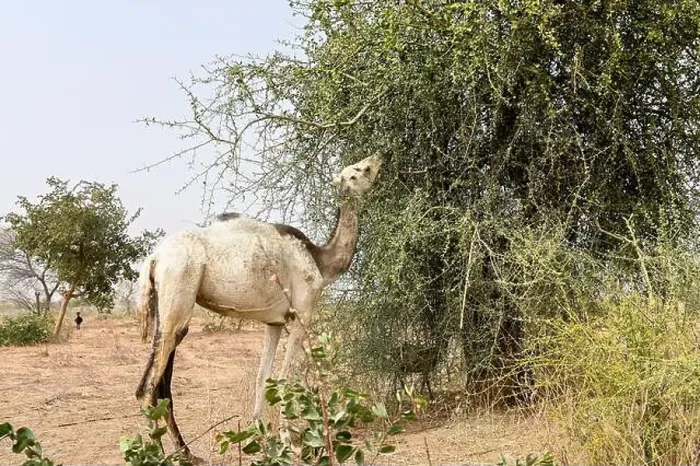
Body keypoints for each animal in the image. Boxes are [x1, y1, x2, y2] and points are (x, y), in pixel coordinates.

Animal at [135, 154, 382, 460]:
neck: (321, 262)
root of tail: (154, 259)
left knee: (162, 384)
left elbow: (263, 378)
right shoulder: (303, 314)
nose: (378, 157)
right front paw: (290, 442)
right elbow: (287, 378)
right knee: (148, 387)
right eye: (360, 170)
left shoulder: (274, 323)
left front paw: (258, 436)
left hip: (166, 307)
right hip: (179, 288)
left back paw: (186, 453)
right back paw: (159, 454)